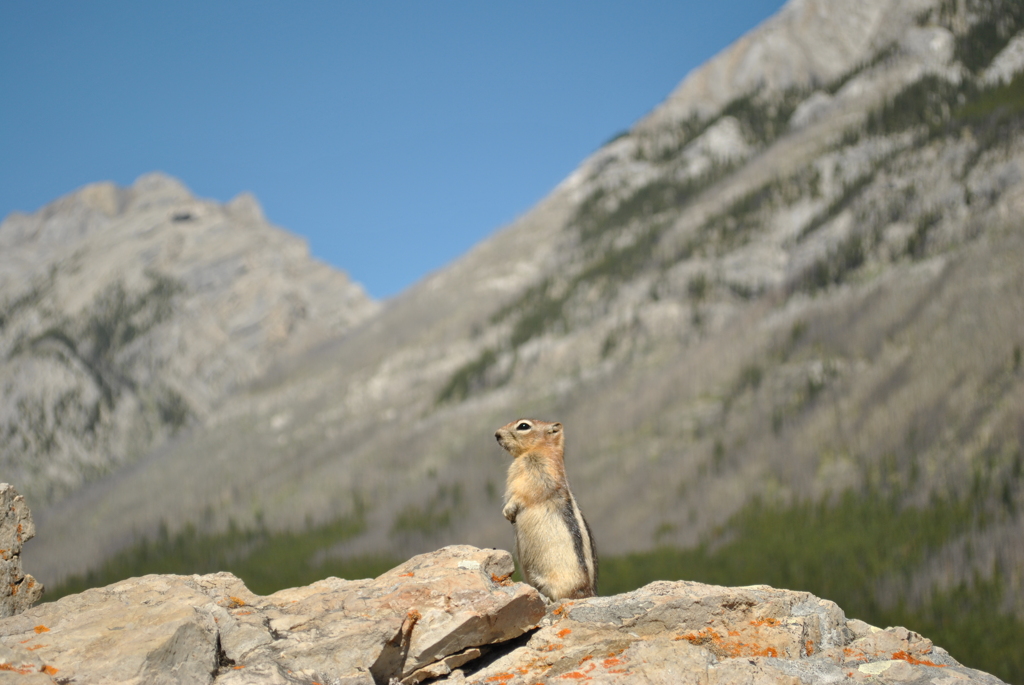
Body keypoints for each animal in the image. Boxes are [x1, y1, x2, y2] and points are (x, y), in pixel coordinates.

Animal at [493, 417, 598, 597]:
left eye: (523, 426)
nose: (496, 434)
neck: (541, 449)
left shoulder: (538, 475)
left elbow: (523, 494)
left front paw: (508, 511)